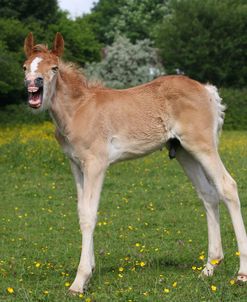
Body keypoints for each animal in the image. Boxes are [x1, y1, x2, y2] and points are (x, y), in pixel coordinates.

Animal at [23, 32, 247, 292]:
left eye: (54, 68)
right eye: (25, 67)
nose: (33, 84)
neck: (78, 109)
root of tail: (207, 90)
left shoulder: (96, 164)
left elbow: (89, 214)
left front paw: (79, 281)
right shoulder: (76, 165)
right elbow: (81, 212)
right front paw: (89, 272)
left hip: (202, 146)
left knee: (227, 186)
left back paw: (241, 273)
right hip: (184, 152)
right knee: (208, 194)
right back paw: (209, 268)